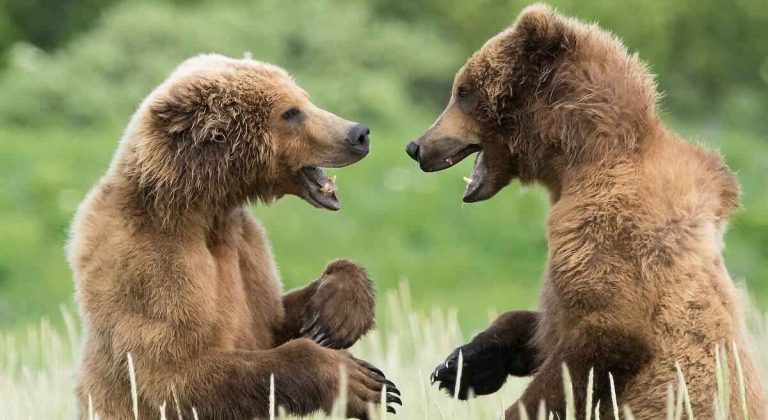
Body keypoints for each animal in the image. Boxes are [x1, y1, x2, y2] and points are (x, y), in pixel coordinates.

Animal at [67, 54, 401, 419]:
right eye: (290, 112)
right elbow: (171, 373)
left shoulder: (246, 246)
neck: (203, 209)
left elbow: (274, 315)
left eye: (305, 98)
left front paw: (335, 314)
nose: (358, 133)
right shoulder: (147, 263)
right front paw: (360, 381)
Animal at [405, 5, 766, 419]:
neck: (574, 161)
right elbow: (544, 326)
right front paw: (461, 365)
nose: (416, 146)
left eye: (462, 91)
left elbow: (605, 336)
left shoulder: (607, 225)